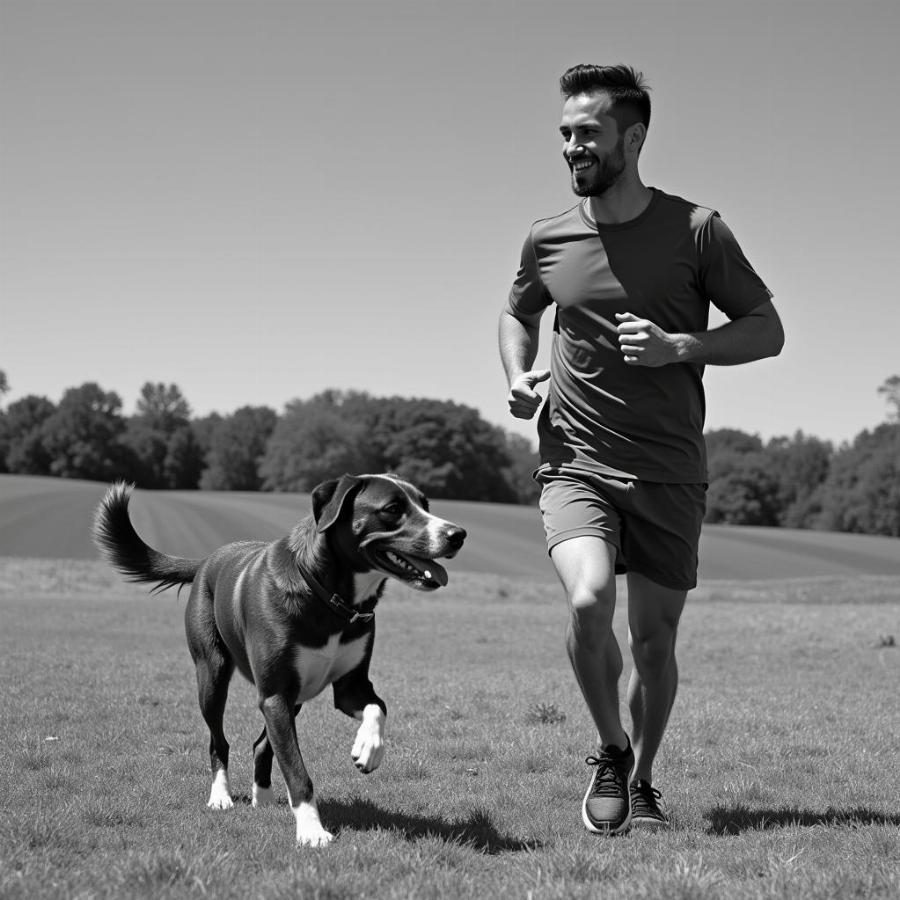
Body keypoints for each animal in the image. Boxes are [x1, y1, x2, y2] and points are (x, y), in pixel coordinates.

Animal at [92, 474, 468, 848]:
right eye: (392, 509)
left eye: (425, 504)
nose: (457, 534)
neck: (332, 599)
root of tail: (206, 561)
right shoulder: (275, 695)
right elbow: (297, 770)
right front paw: (312, 831)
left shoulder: (348, 685)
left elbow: (378, 707)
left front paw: (368, 750)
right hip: (212, 675)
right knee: (219, 741)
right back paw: (221, 797)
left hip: (295, 698)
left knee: (261, 744)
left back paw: (265, 799)